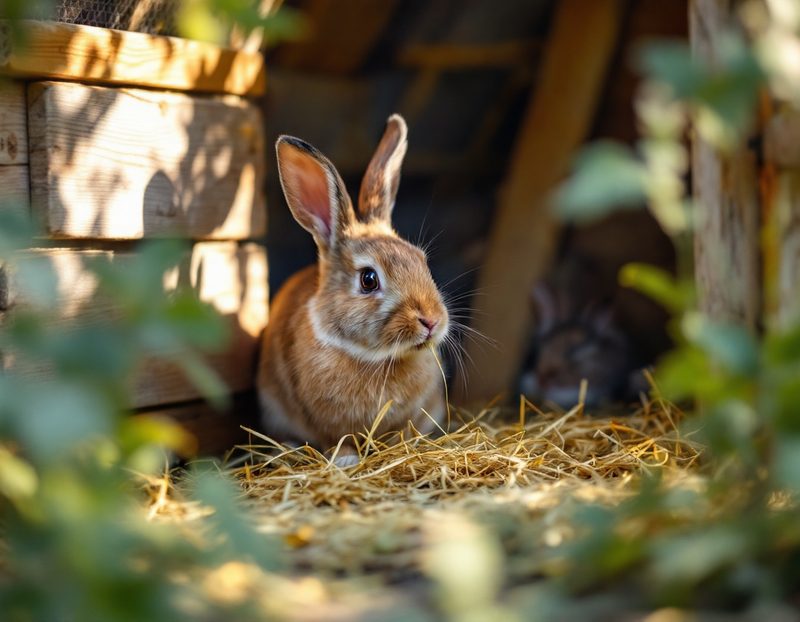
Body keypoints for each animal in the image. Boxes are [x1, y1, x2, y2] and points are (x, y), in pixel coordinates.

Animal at [257, 115, 449, 467]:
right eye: (368, 279)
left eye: (421, 261)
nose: (431, 321)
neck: (376, 358)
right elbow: (337, 438)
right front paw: (345, 459)